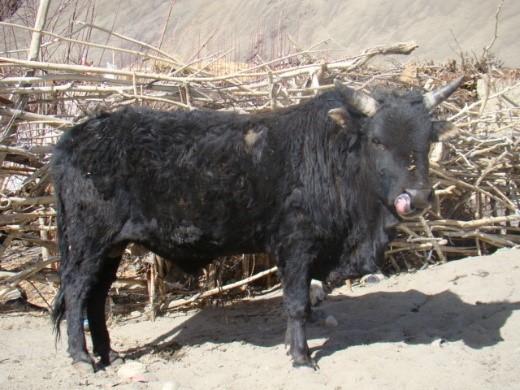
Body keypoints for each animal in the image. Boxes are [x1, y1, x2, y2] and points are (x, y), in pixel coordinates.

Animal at [50, 77, 462, 372]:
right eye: (377, 140)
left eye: (427, 140)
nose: (417, 197)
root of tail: (76, 135)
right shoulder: (295, 246)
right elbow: (296, 303)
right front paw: (301, 356)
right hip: (88, 242)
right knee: (76, 291)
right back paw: (83, 358)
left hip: (111, 247)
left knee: (96, 297)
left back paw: (109, 354)